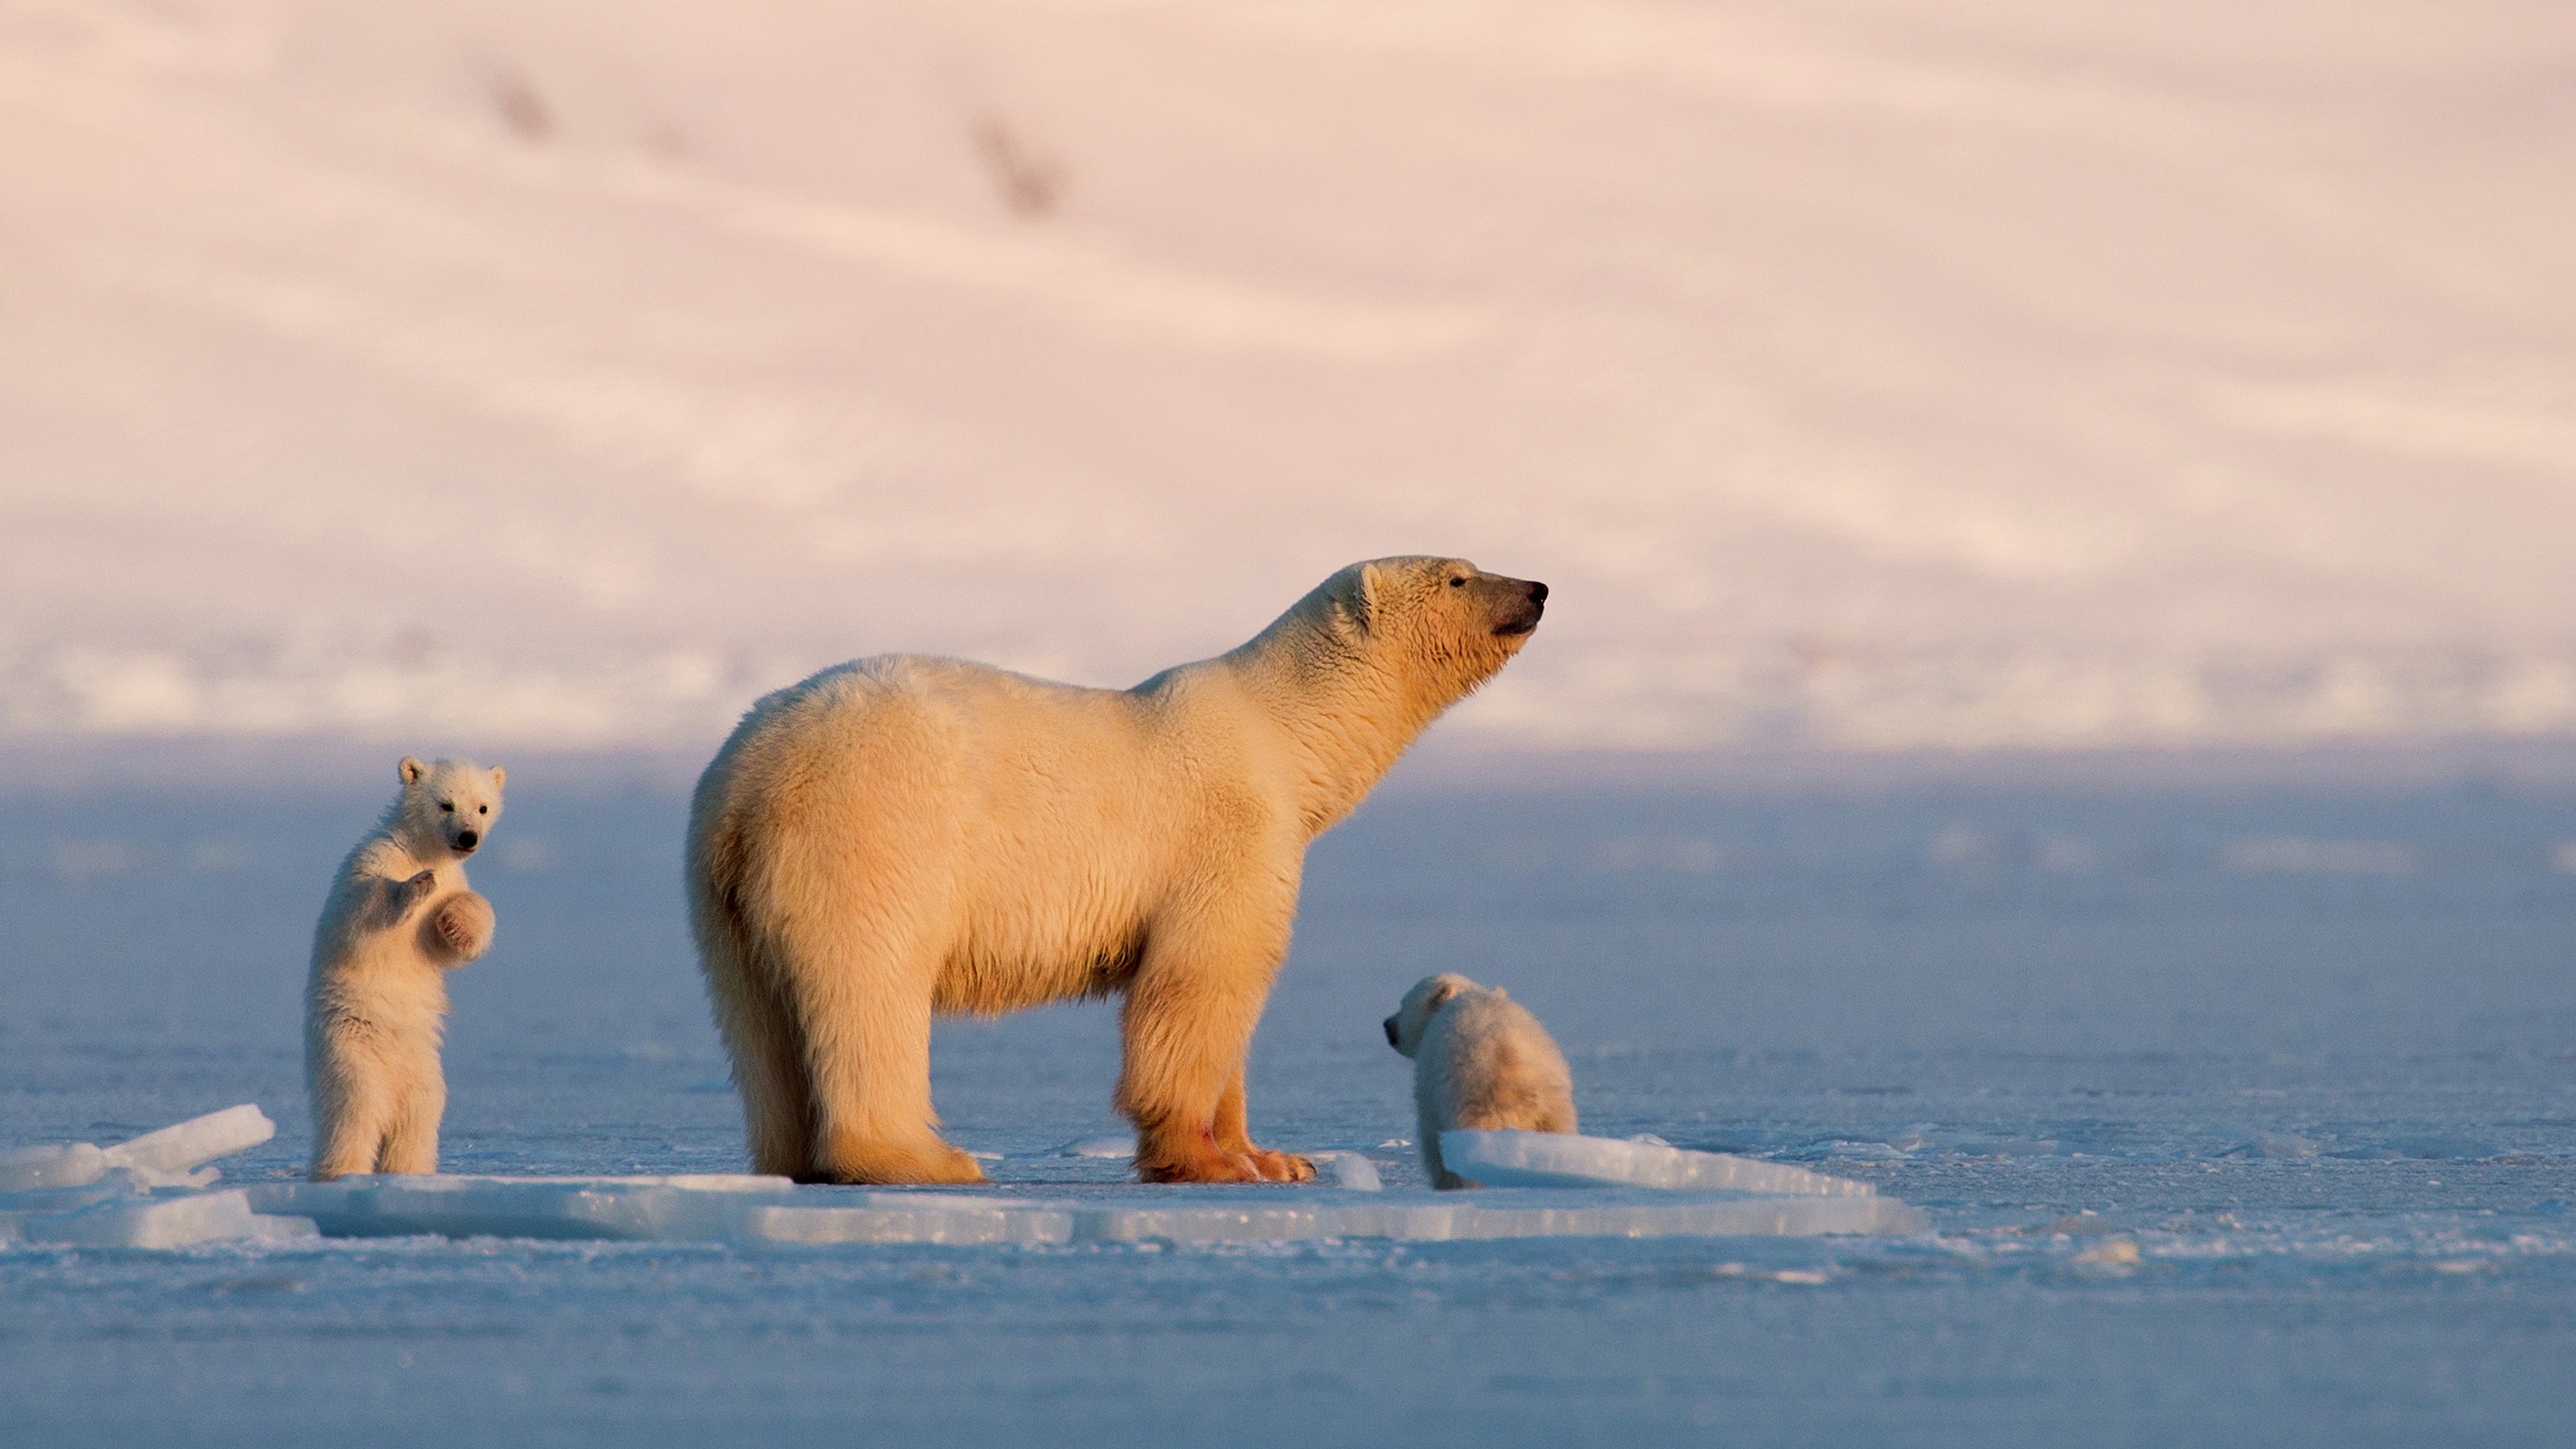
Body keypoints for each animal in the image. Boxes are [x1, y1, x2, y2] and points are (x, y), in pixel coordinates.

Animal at [305, 756, 506, 1181]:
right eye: (446, 804)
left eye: (482, 807)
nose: (468, 837)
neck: (420, 850)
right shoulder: (371, 860)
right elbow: (359, 915)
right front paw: (416, 885)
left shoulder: (454, 878)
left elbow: (445, 943)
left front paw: (457, 921)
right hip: (351, 1049)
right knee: (354, 1112)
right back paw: (342, 1171)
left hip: (424, 1071)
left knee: (417, 1120)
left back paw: (410, 1172)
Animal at [688, 555, 1547, 1185]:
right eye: (1458, 575)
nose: (1537, 589)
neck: (1283, 732)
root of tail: (748, 779)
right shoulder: (1226, 836)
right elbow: (1199, 986)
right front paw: (1209, 1162)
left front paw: (1277, 1158)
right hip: (874, 834)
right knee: (871, 987)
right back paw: (924, 1159)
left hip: (723, 893)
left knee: (758, 1024)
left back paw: (793, 1158)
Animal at [1383, 972, 1578, 1189]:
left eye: (1402, 1004)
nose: (1387, 1024)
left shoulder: (1430, 1086)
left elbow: (1432, 1142)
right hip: (1551, 1108)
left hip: (1472, 1098)